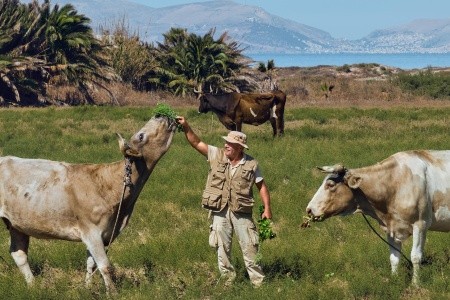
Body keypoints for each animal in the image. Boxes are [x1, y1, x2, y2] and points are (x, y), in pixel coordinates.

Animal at [0, 115, 178, 292]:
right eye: (141, 136)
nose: (160, 115)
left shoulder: (104, 233)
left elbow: (92, 265)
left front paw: (87, 288)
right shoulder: (91, 232)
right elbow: (105, 266)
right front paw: (112, 293)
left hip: (17, 224)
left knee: (19, 253)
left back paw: (33, 285)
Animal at [306, 151, 450, 284]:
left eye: (330, 185)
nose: (309, 210)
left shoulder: (421, 224)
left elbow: (415, 256)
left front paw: (415, 284)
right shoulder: (391, 227)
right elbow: (394, 257)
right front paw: (394, 279)